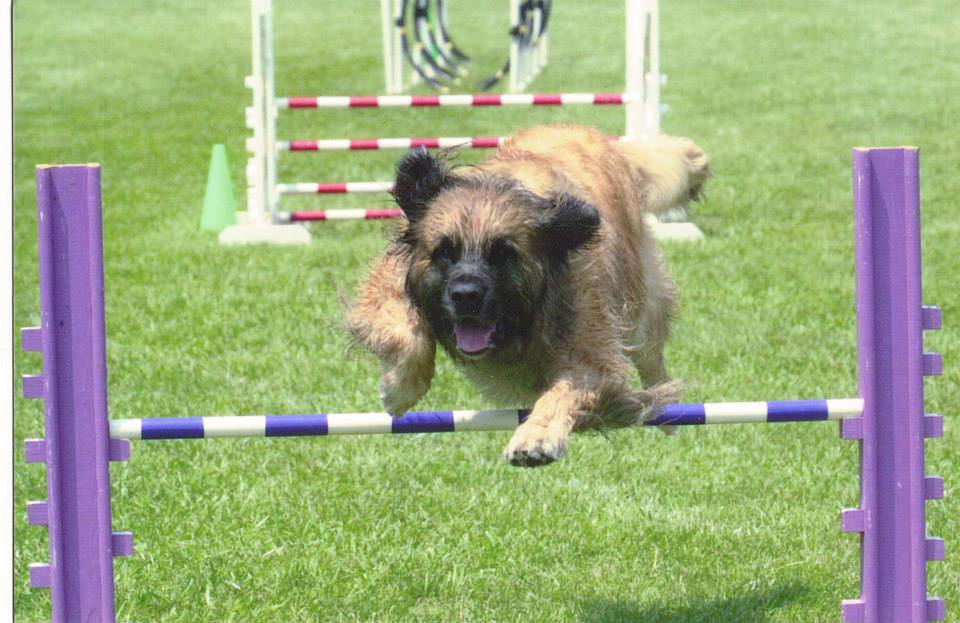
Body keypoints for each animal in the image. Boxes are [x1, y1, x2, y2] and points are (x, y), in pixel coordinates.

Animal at [344, 124, 704, 466]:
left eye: (503, 254)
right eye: (444, 252)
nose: (465, 296)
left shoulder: (587, 330)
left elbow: (563, 391)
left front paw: (536, 437)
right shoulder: (391, 281)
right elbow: (407, 331)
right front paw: (399, 388)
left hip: (642, 302)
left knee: (651, 355)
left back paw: (668, 409)